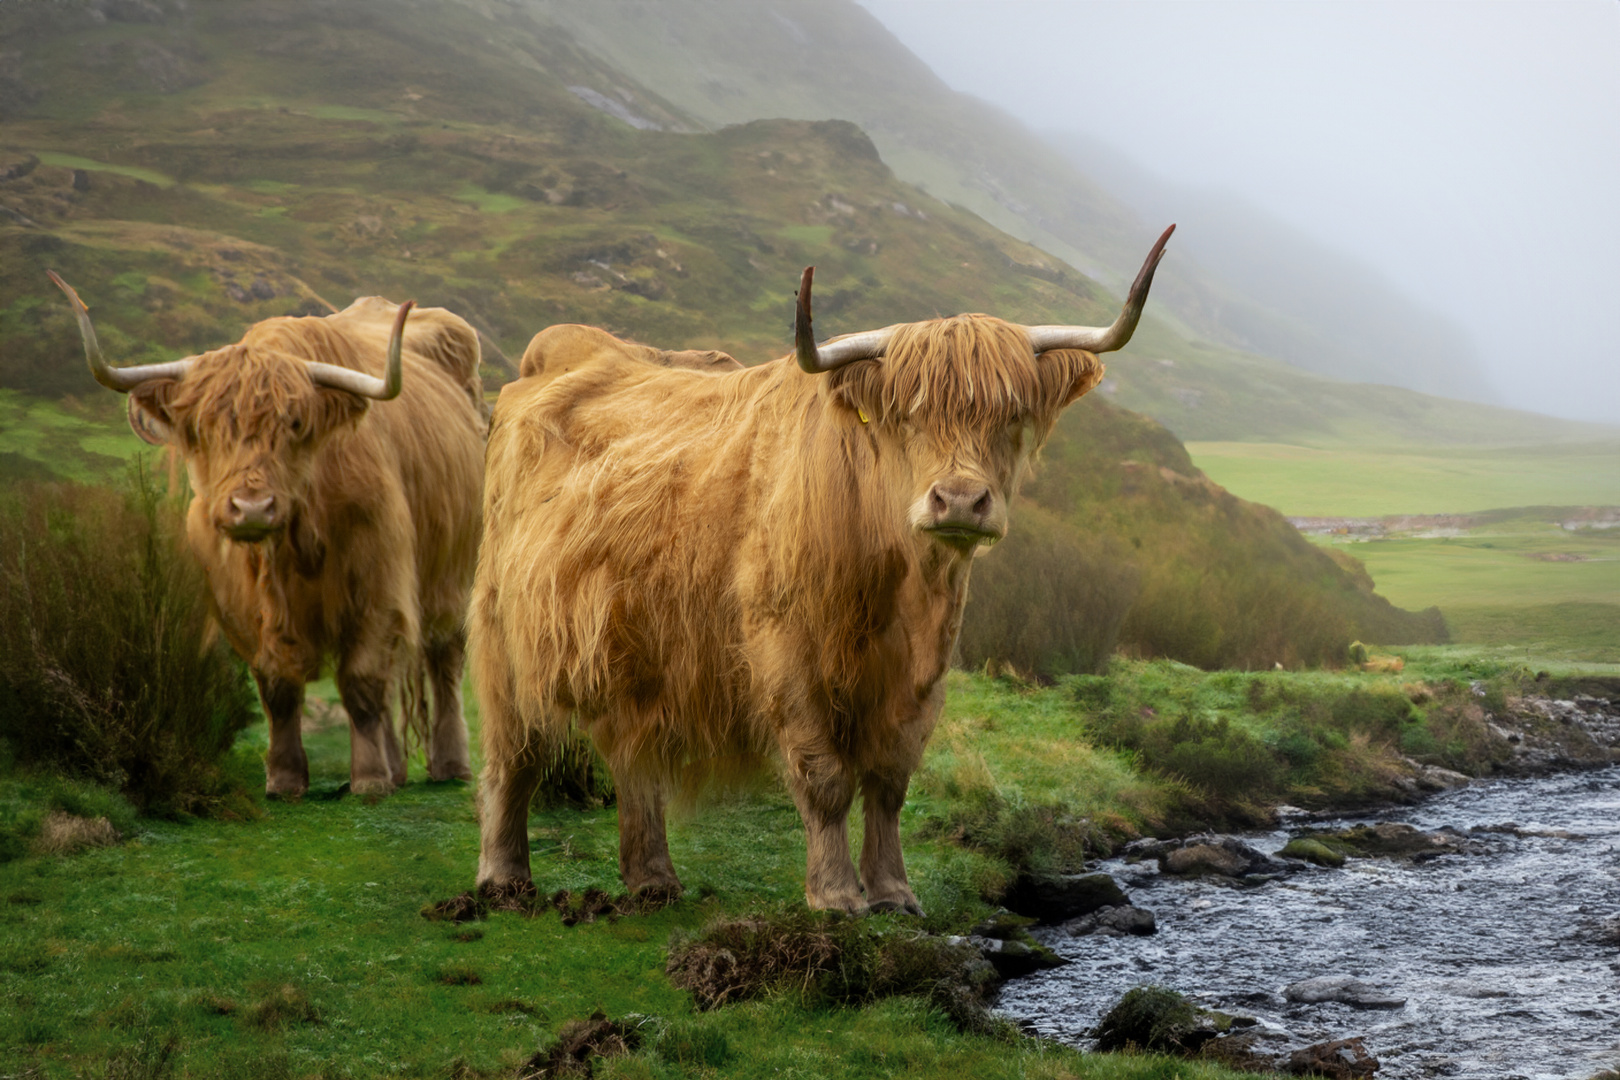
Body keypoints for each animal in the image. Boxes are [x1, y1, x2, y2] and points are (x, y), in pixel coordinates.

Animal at [50, 276, 486, 803]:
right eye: (203, 427)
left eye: (294, 424)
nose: (252, 507)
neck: (292, 544)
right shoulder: (238, 600)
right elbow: (278, 689)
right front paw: (285, 778)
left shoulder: (378, 583)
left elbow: (361, 683)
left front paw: (369, 779)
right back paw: (398, 769)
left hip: (454, 577)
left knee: (444, 663)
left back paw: (449, 765)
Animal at [473, 228, 1172, 913]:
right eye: (906, 416)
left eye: (1012, 416)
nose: (959, 501)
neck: (896, 591)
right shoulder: (785, 652)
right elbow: (825, 775)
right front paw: (836, 894)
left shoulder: (924, 672)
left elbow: (890, 778)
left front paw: (893, 892)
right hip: (502, 631)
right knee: (513, 758)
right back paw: (504, 879)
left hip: (627, 650)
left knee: (632, 757)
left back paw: (653, 881)